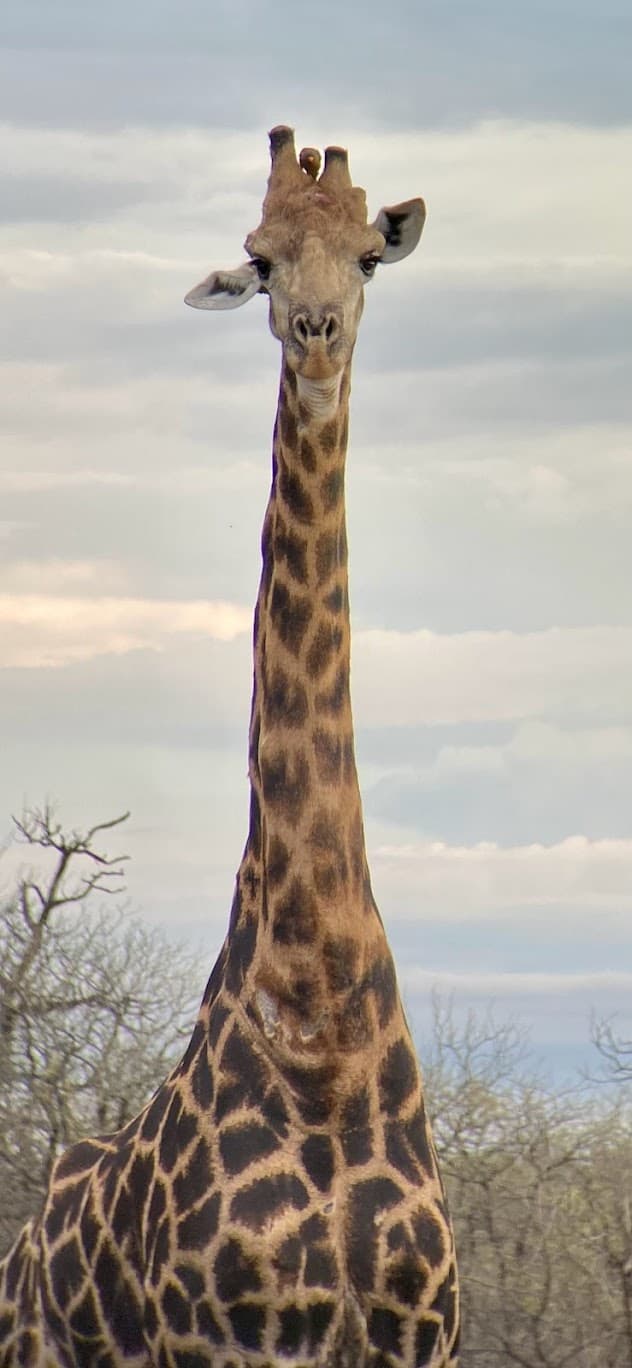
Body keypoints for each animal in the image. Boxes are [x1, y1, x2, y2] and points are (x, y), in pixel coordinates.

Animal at [0, 126, 459, 1368]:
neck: (326, 1021)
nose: (316, 329)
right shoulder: (230, 1339)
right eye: (259, 257)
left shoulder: (418, 1335)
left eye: (367, 253)